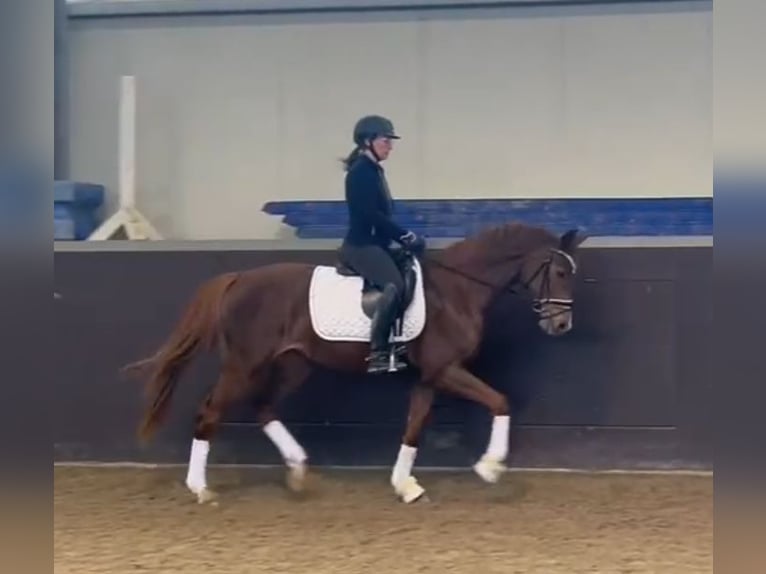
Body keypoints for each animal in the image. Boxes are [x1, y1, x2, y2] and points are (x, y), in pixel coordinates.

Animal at [124, 223, 588, 506]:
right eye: (560, 273)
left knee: (263, 407)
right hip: (244, 365)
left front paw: (405, 485)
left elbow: (415, 427)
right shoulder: (446, 371)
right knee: (210, 412)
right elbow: (500, 401)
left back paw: (298, 469)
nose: (562, 324)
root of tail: (238, 279)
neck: (456, 290)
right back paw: (201, 489)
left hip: (294, 365)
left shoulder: (430, 377)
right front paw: (490, 468)